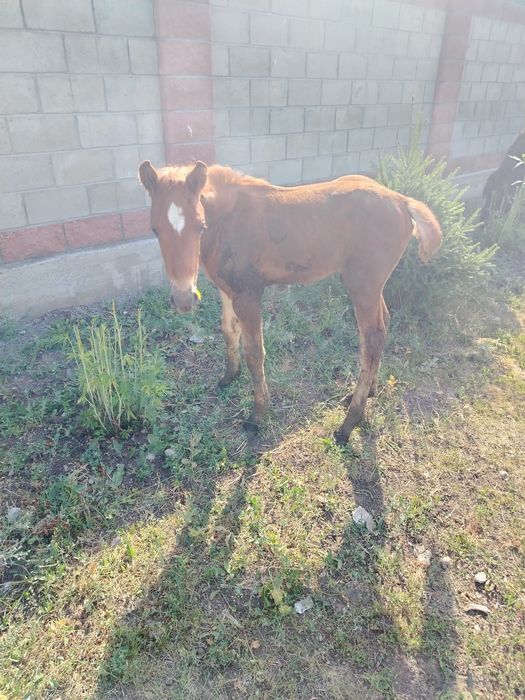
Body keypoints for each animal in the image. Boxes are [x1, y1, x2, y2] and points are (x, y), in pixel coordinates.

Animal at [138, 160, 442, 444]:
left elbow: (254, 352)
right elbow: (228, 331)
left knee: (372, 338)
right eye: (154, 229)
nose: (183, 300)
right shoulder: (227, 290)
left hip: (362, 284)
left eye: (200, 226)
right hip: (374, 285)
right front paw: (228, 378)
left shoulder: (249, 294)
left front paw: (258, 415)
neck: (228, 223)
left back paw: (348, 424)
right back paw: (370, 392)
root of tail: (402, 201)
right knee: (384, 324)